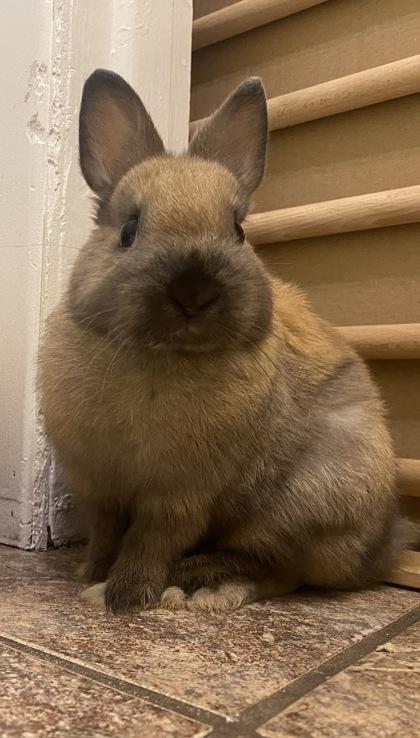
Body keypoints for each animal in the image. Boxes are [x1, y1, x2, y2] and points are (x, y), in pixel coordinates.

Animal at [38, 69, 414, 614]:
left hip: (302, 506)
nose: (194, 292)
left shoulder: (180, 496)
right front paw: (91, 574)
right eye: (128, 229)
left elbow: (151, 542)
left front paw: (126, 597)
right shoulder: (99, 489)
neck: (163, 359)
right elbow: (107, 534)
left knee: (275, 569)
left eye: (237, 230)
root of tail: (384, 545)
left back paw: (202, 585)